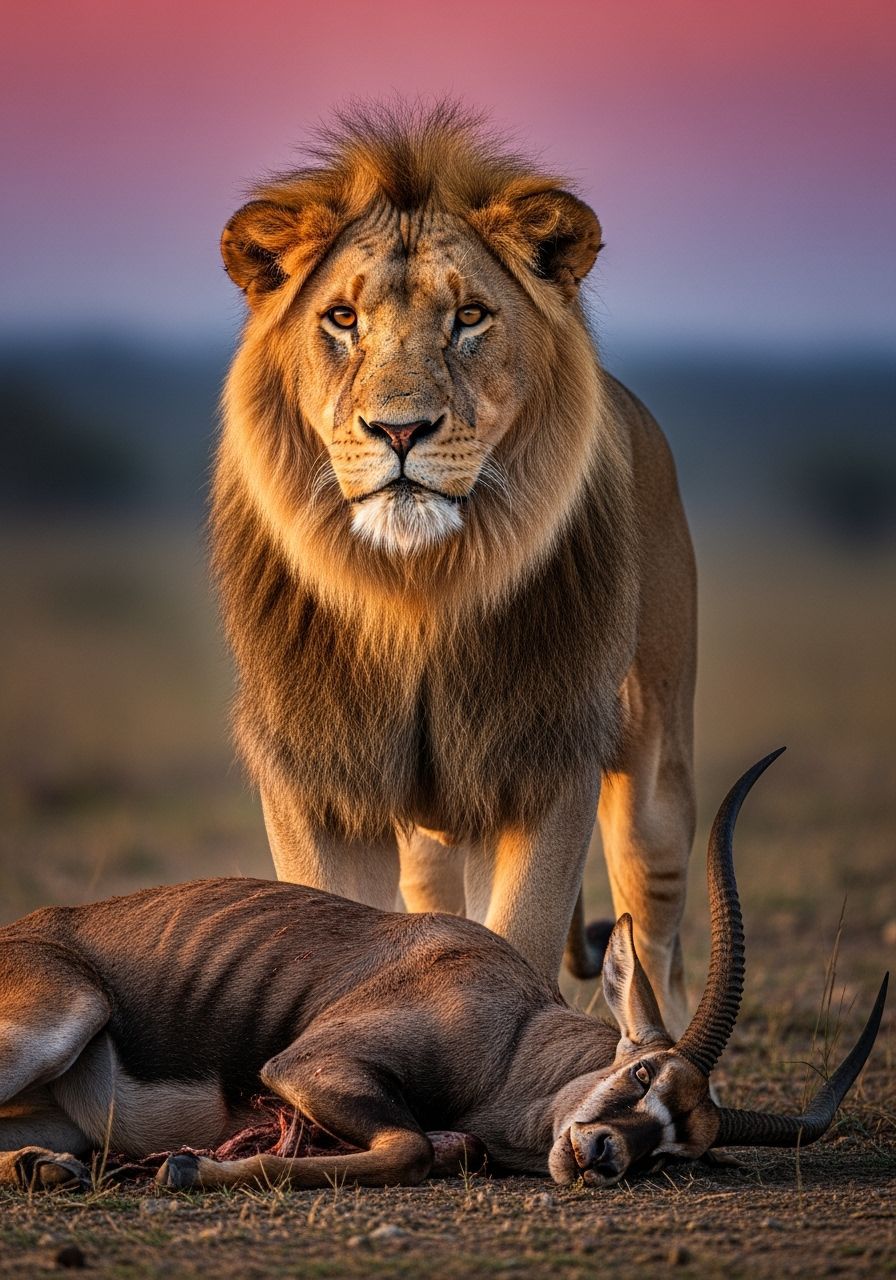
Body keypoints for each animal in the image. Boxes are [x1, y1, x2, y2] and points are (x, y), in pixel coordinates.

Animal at [212, 103, 696, 1035]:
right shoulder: (315, 773)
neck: (418, 593)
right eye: (341, 319)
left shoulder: (544, 759)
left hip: (656, 760)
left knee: (653, 919)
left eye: (470, 316)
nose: (400, 430)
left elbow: (522, 934)